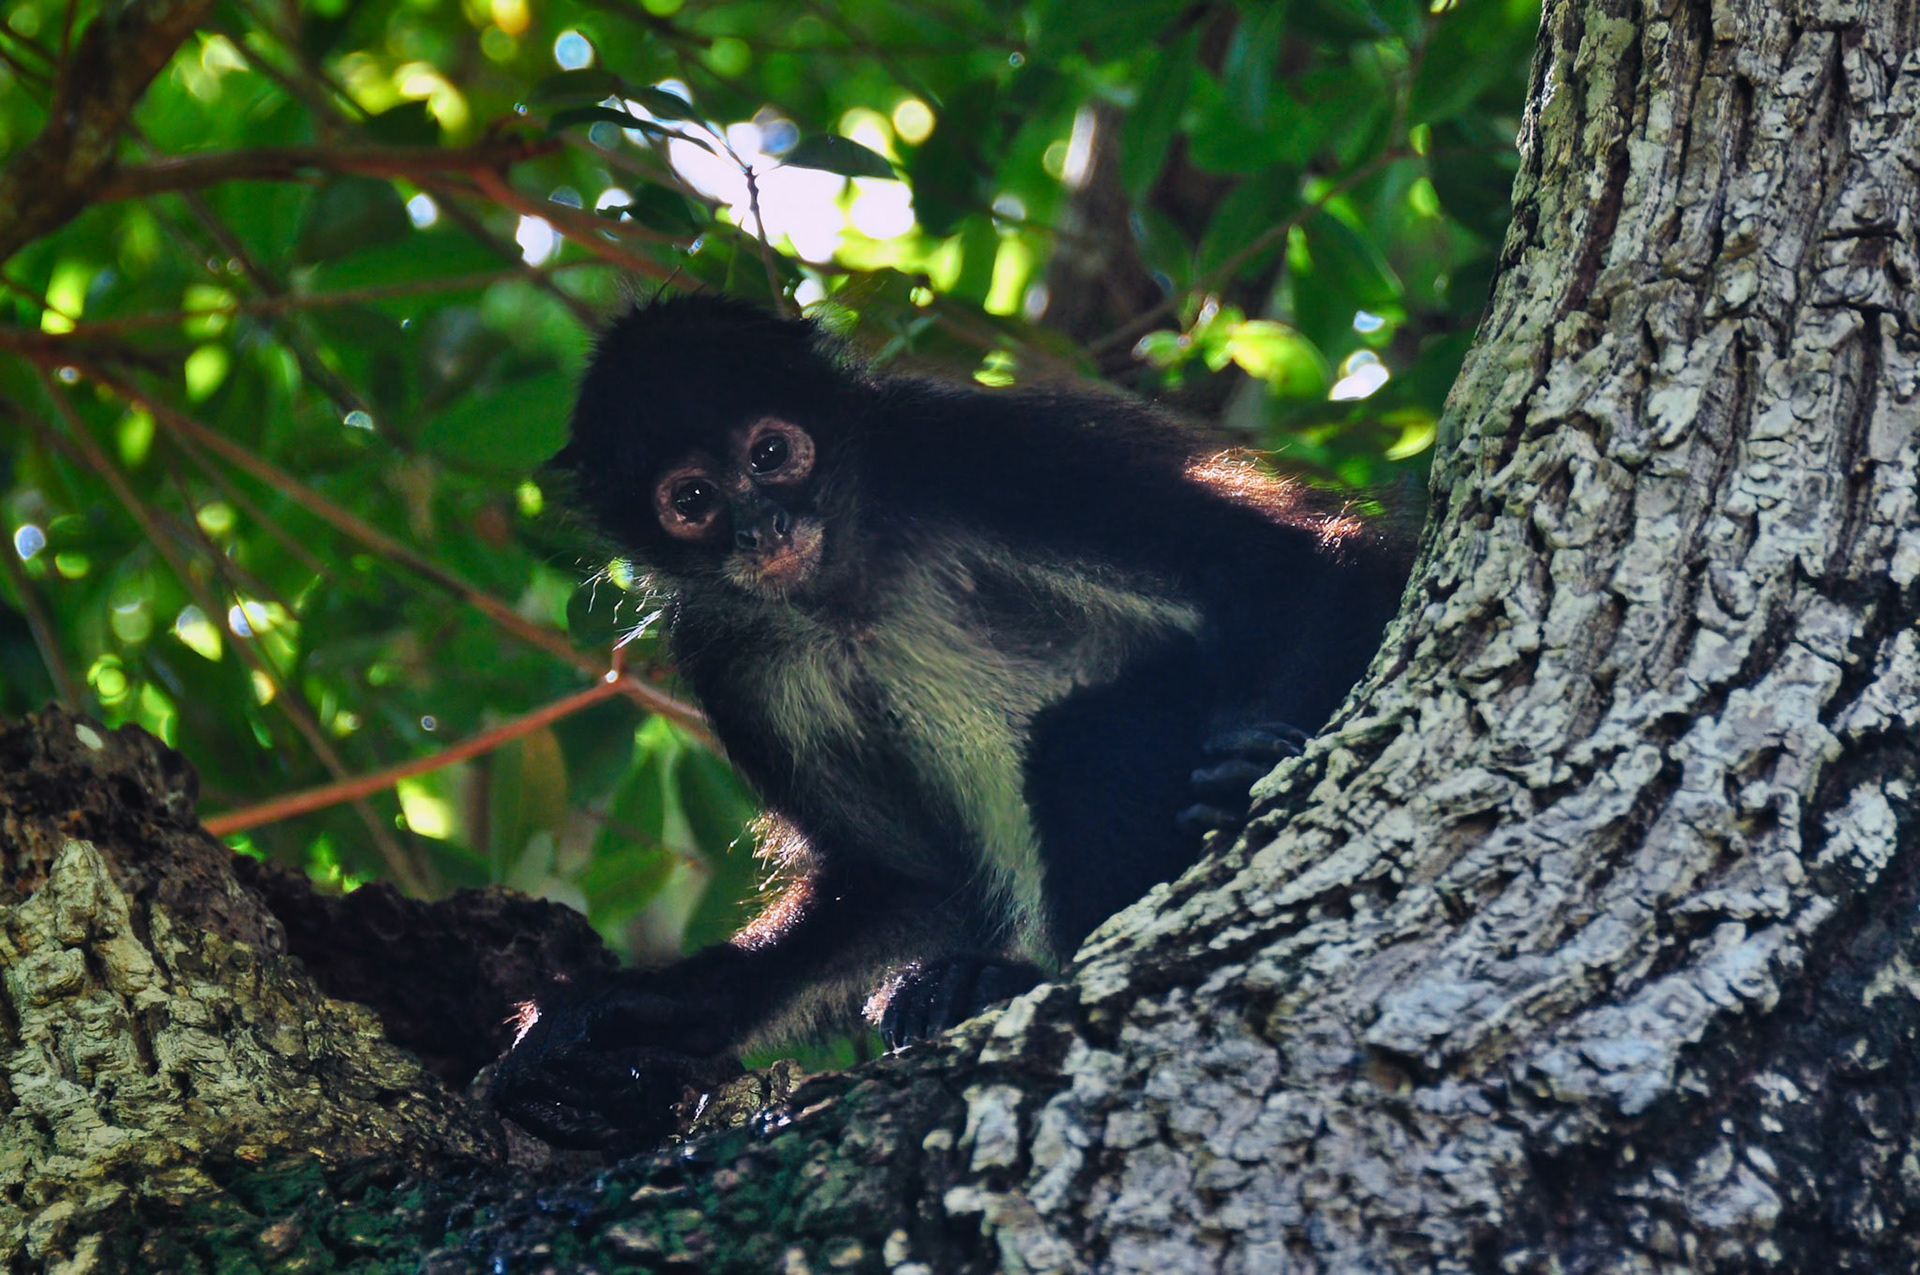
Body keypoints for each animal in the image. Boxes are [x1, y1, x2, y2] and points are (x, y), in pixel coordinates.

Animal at [490, 294, 1407, 1147]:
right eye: (692, 499)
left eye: (772, 453)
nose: (762, 528)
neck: (845, 589)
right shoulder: (730, 653)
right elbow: (907, 880)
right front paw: (646, 1009)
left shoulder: (953, 455)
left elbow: (1277, 562)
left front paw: (1246, 784)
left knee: (1085, 738)